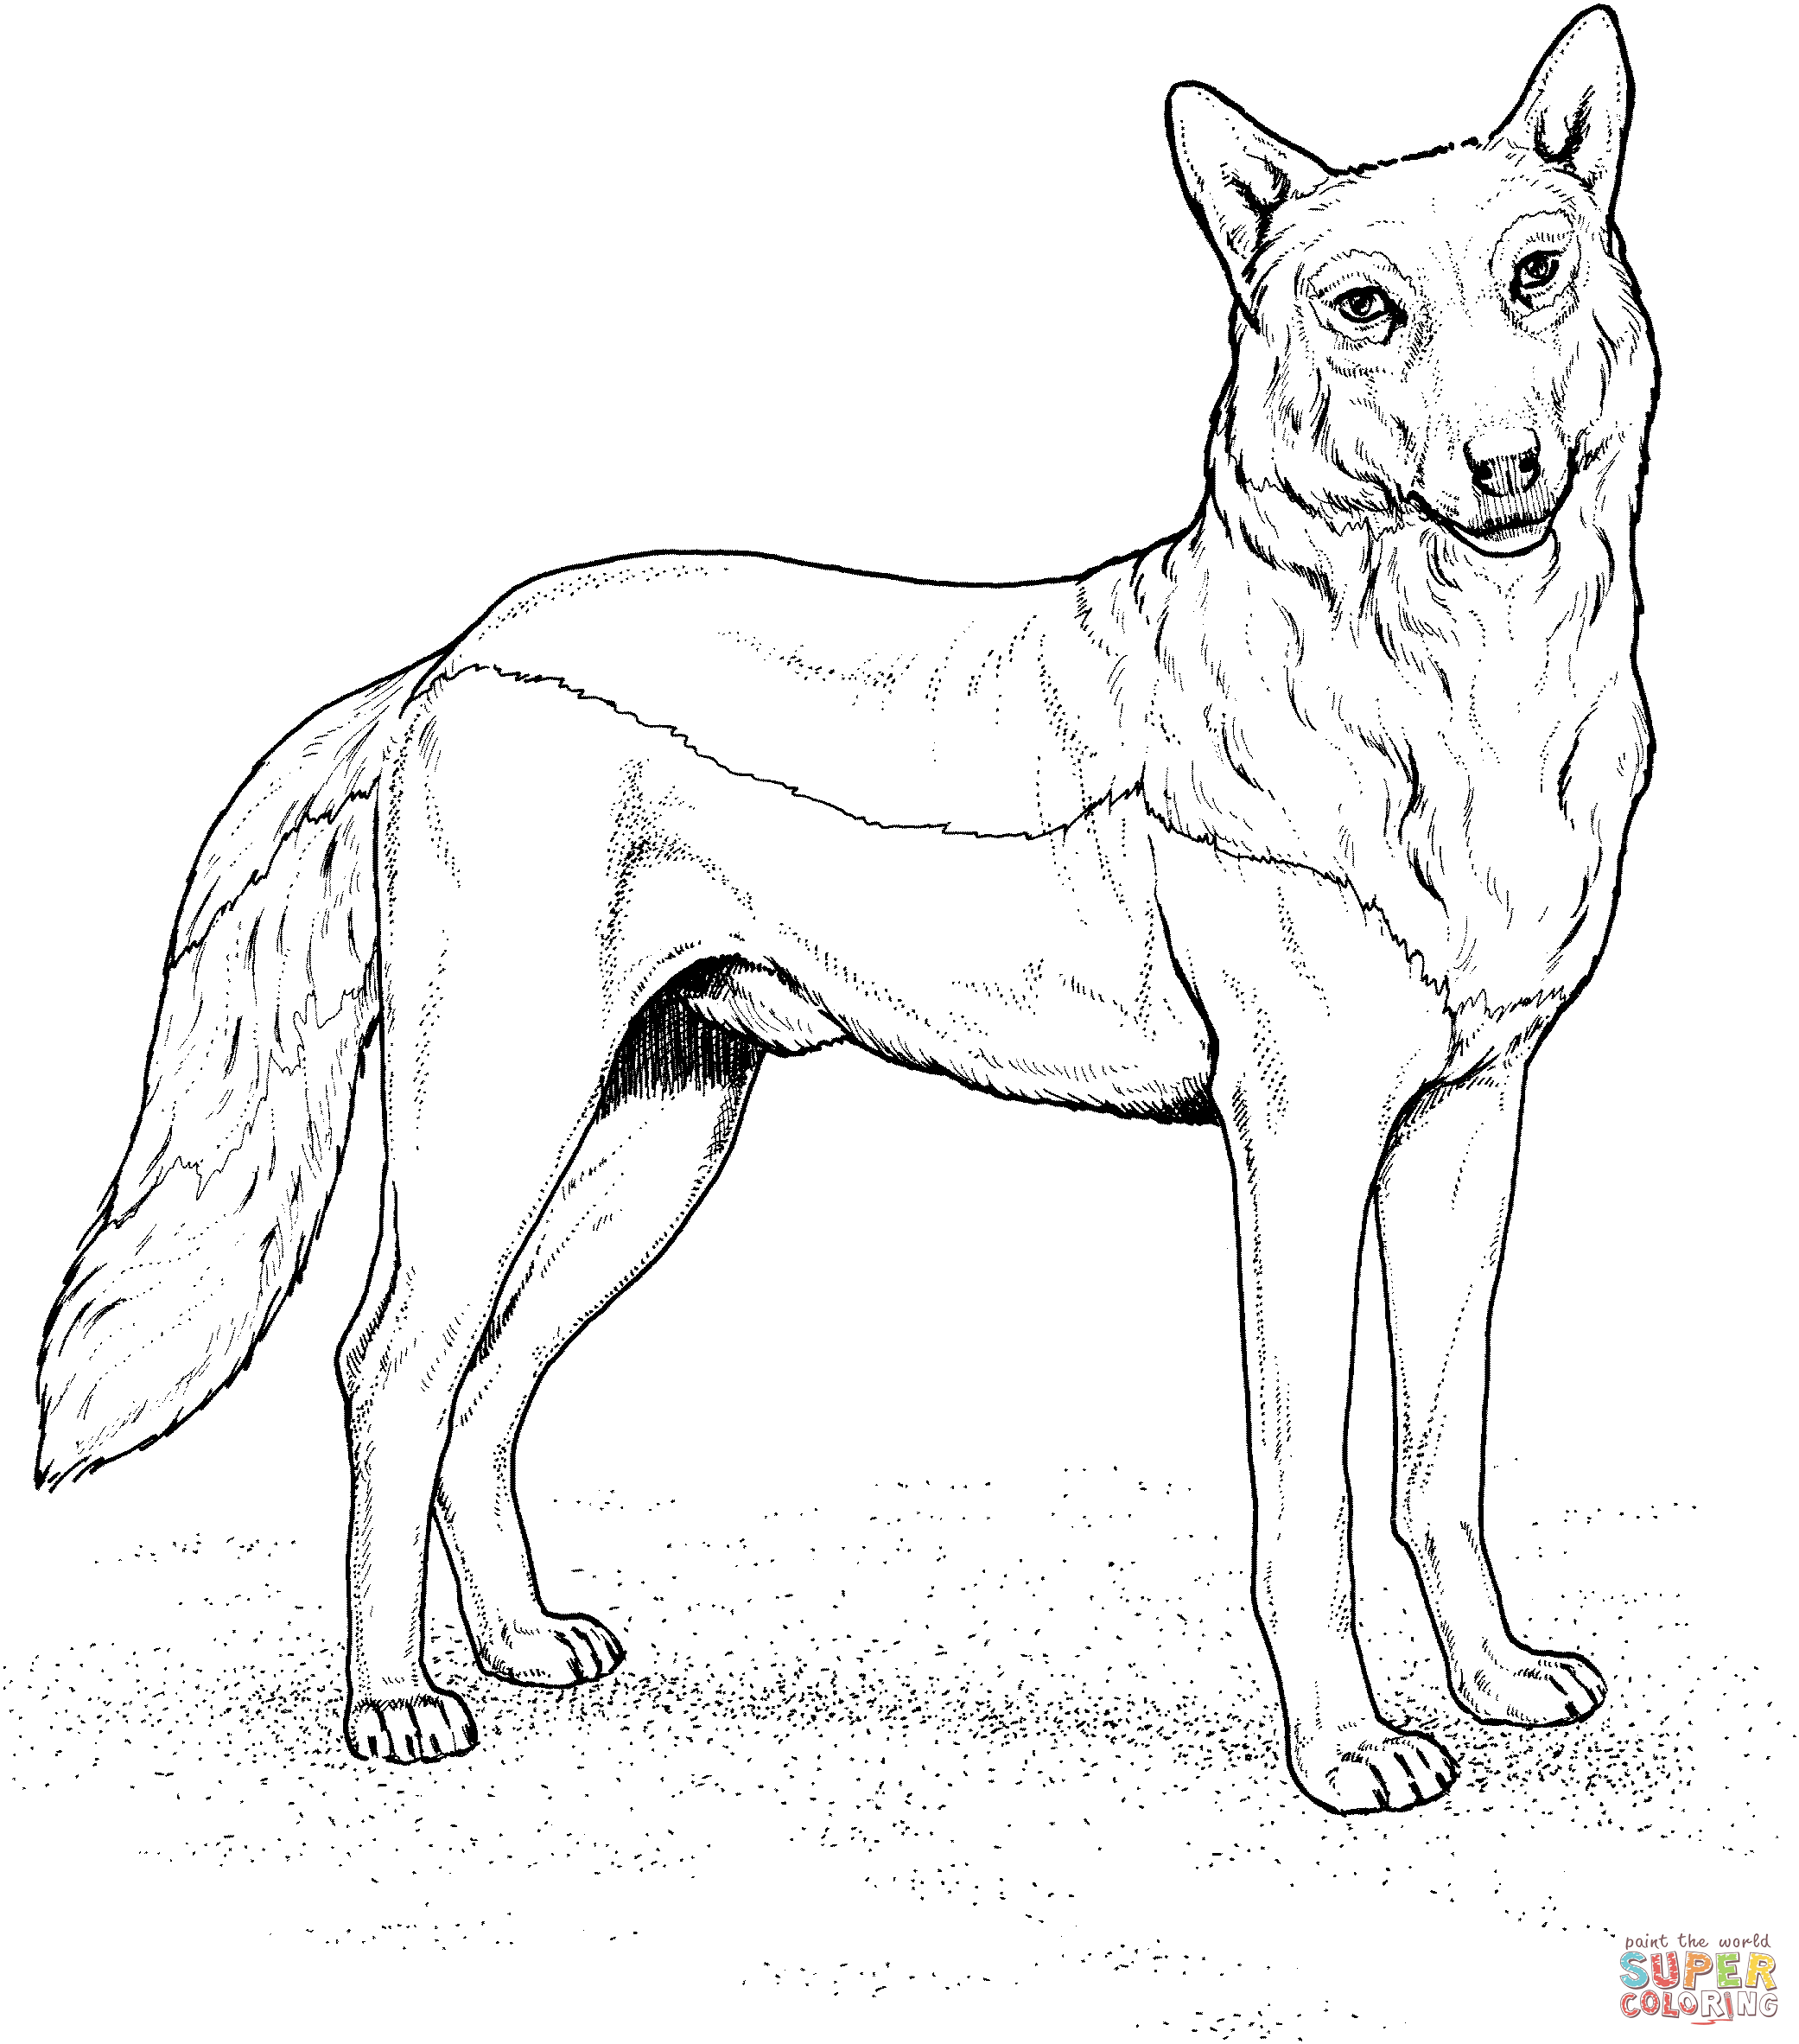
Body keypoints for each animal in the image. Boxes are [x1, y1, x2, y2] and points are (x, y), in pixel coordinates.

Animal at [37, 10, 1653, 1814]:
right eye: (1364, 307)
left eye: (1534, 273)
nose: (1506, 468)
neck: (1448, 689)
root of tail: (453, 655)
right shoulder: (1300, 1150)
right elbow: (1309, 1497)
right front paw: (1347, 1745)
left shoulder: (1465, 1127)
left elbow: (1440, 1456)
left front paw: (1495, 1681)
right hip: (496, 1116)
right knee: (390, 1368)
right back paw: (393, 1701)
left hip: (650, 1143)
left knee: (487, 1382)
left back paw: (520, 1644)